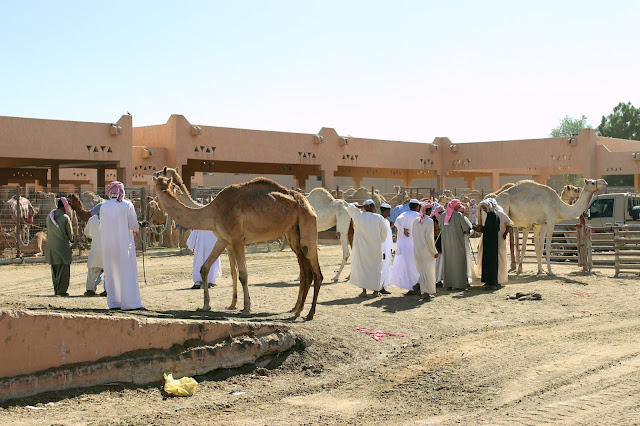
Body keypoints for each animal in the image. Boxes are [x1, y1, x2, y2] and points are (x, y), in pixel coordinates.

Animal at [152, 173, 322, 320]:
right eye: (158, 184)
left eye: (171, 185)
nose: (153, 201)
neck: (213, 211)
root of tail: (309, 204)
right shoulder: (222, 240)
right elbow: (205, 268)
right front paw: (206, 305)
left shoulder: (237, 239)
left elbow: (243, 274)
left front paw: (246, 308)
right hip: (294, 232)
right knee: (305, 272)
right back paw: (297, 310)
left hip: (307, 223)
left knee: (315, 271)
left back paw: (309, 314)